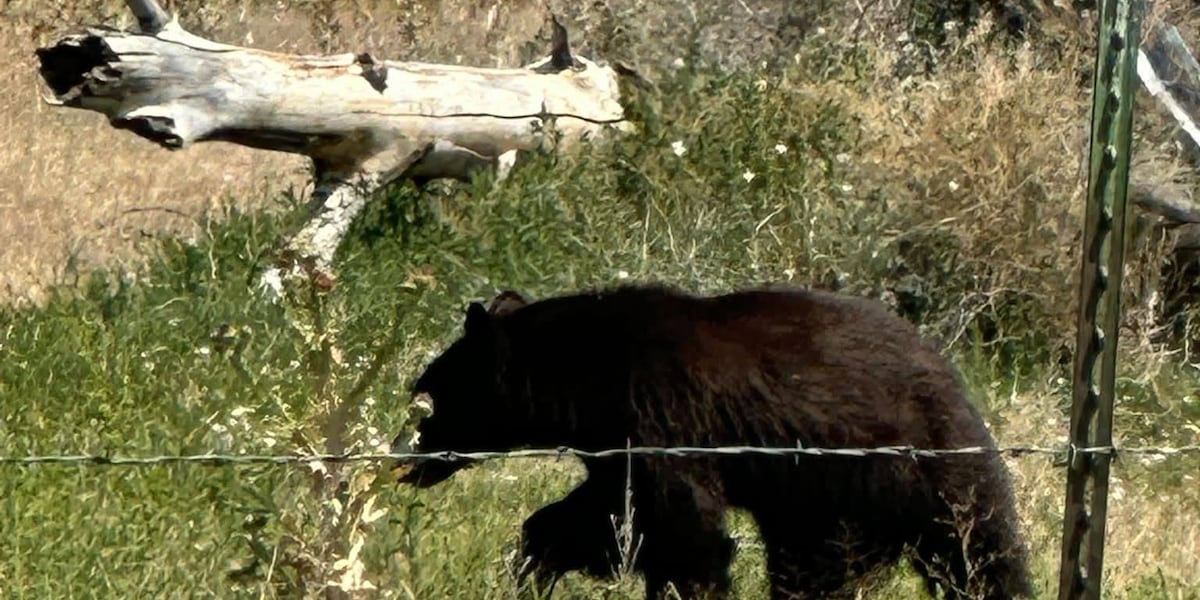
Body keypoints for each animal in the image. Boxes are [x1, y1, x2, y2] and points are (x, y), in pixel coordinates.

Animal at [392, 283, 1033, 600]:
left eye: (427, 395)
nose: (403, 455)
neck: (584, 374)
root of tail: (949, 368)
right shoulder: (616, 444)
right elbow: (606, 516)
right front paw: (533, 562)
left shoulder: (662, 415)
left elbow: (682, 528)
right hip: (824, 502)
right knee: (812, 568)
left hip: (923, 458)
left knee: (977, 548)